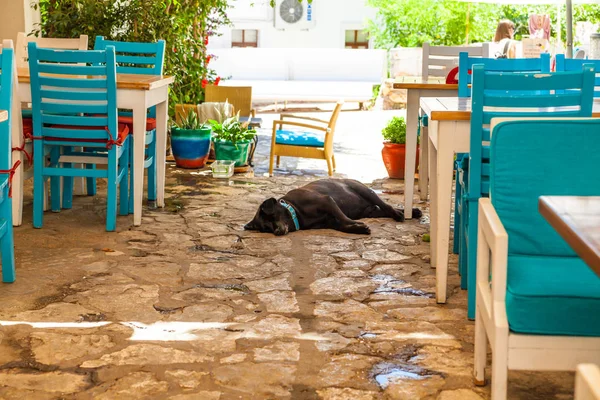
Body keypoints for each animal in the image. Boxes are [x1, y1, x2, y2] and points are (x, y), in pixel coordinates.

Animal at [244, 178, 422, 234]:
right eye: (266, 228)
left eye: (273, 216)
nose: (277, 231)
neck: (296, 211)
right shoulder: (330, 222)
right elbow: (343, 226)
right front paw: (358, 229)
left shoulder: (328, 201)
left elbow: (344, 218)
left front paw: (357, 225)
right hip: (371, 212)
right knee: (384, 210)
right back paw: (413, 212)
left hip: (366, 191)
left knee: (387, 206)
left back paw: (401, 215)